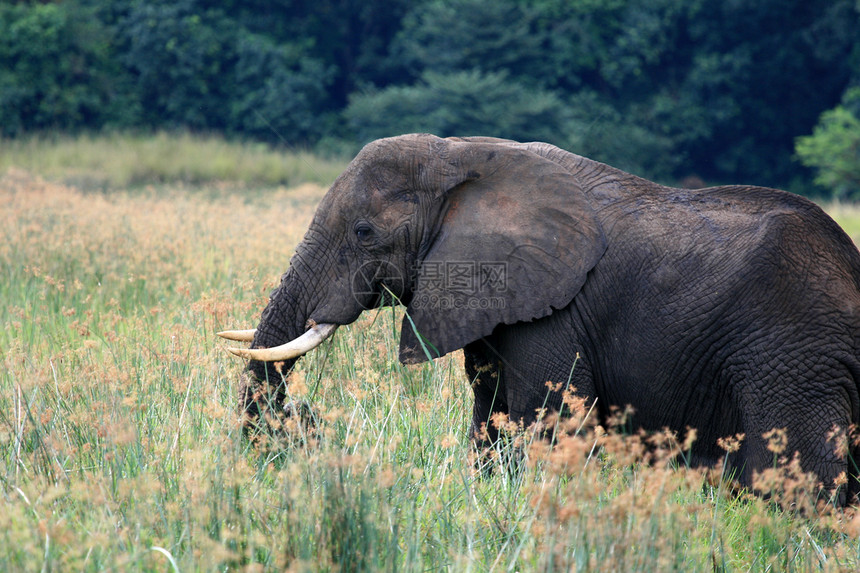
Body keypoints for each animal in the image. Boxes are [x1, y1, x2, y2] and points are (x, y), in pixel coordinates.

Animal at [220, 132, 860, 502]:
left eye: (362, 232)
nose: (306, 418)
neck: (458, 156)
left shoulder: (556, 311)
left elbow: (545, 420)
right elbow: (491, 416)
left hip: (791, 356)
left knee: (797, 475)